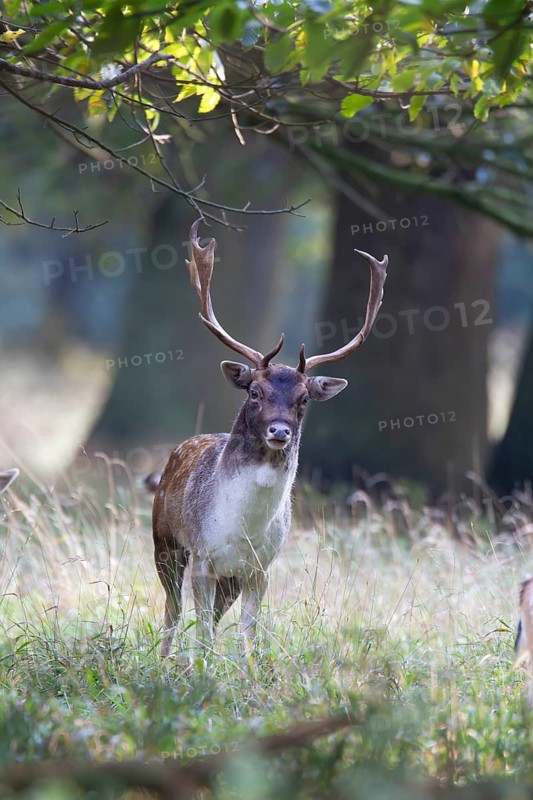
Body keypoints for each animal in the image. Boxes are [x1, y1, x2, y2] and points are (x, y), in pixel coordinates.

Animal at [152, 219, 388, 656]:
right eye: (255, 392)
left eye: (304, 399)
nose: (279, 430)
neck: (241, 529)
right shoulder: (204, 557)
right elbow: (201, 632)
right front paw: (198, 668)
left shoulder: (260, 567)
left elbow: (249, 633)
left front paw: (248, 669)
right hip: (165, 543)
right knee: (171, 612)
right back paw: (164, 660)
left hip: (228, 579)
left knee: (209, 617)